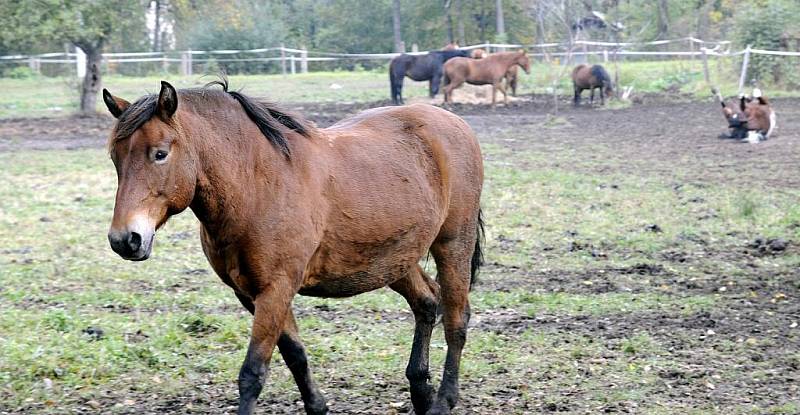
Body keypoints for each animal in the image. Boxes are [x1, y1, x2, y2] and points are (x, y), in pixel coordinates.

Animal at [103, 79, 484, 415]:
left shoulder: (276, 289)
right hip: (392, 260)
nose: (125, 239)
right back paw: (421, 391)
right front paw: (318, 406)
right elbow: (295, 356)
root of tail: (455, 123)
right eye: (115, 158)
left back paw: (443, 400)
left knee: (456, 320)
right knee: (426, 302)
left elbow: (253, 373)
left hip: (453, 245)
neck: (257, 185)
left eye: (160, 154)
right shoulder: (252, 294)